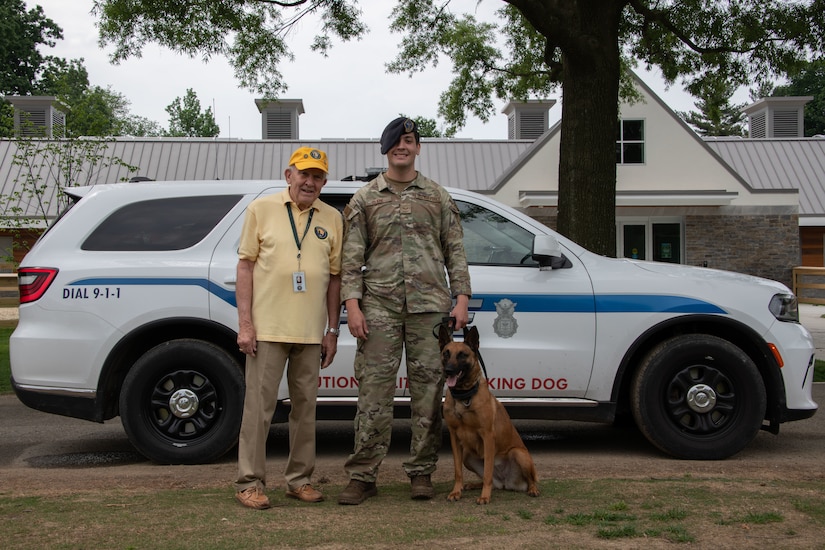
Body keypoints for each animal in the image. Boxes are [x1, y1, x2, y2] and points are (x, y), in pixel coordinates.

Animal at [438, 326, 540, 506]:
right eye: (446, 354)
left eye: (462, 355)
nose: (448, 371)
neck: (464, 396)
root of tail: (507, 482)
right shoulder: (454, 437)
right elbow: (458, 471)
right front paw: (456, 492)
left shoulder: (487, 436)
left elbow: (487, 474)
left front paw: (485, 496)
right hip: (468, 456)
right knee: (493, 481)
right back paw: (471, 485)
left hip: (519, 454)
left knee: (529, 480)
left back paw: (532, 490)